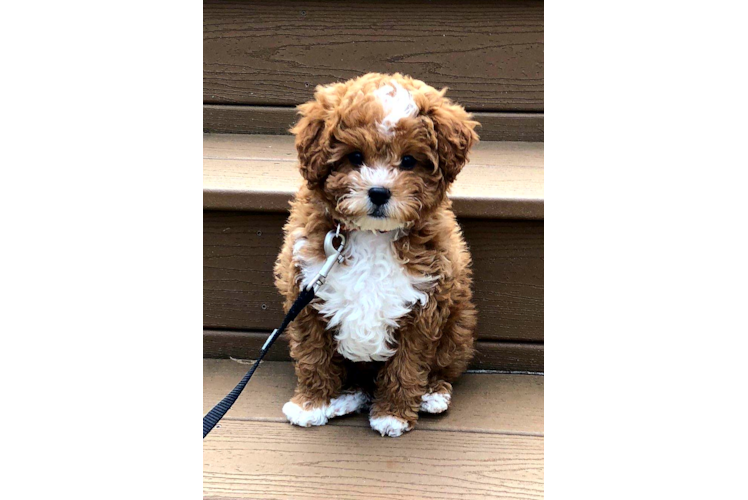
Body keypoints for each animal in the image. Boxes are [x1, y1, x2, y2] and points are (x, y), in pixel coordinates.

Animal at [274, 72, 480, 436]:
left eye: (409, 161)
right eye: (355, 157)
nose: (379, 192)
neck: (372, 234)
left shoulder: (424, 303)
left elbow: (408, 363)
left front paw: (393, 414)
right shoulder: (306, 289)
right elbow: (313, 353)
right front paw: (310, 403)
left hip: (458, 325)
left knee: (443, 368)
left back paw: (433, 394)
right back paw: (345, 398)